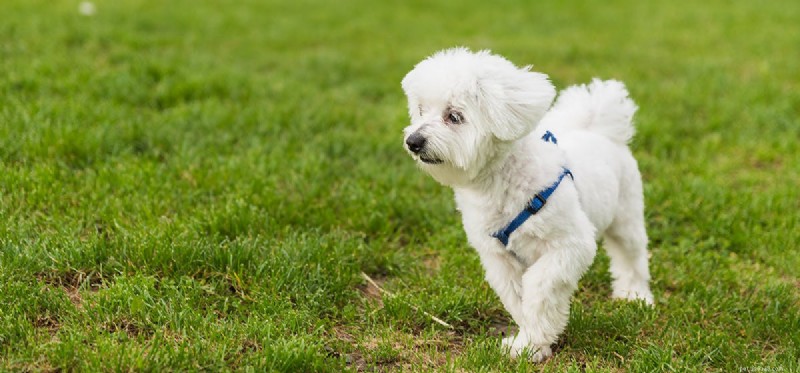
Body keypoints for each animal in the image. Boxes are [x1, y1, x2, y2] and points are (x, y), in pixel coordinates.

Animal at [404, 48, 652, 362]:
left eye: (454, 116)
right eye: (421, 110)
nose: (413, 141)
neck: (501, 182)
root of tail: (599, 129)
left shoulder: (569, 245)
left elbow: (538, 288)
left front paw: (533, 343)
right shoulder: (499, 259)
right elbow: (518, 300)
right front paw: (530, 344)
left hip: (626, 218)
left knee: (632, 258)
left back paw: (636, 296)